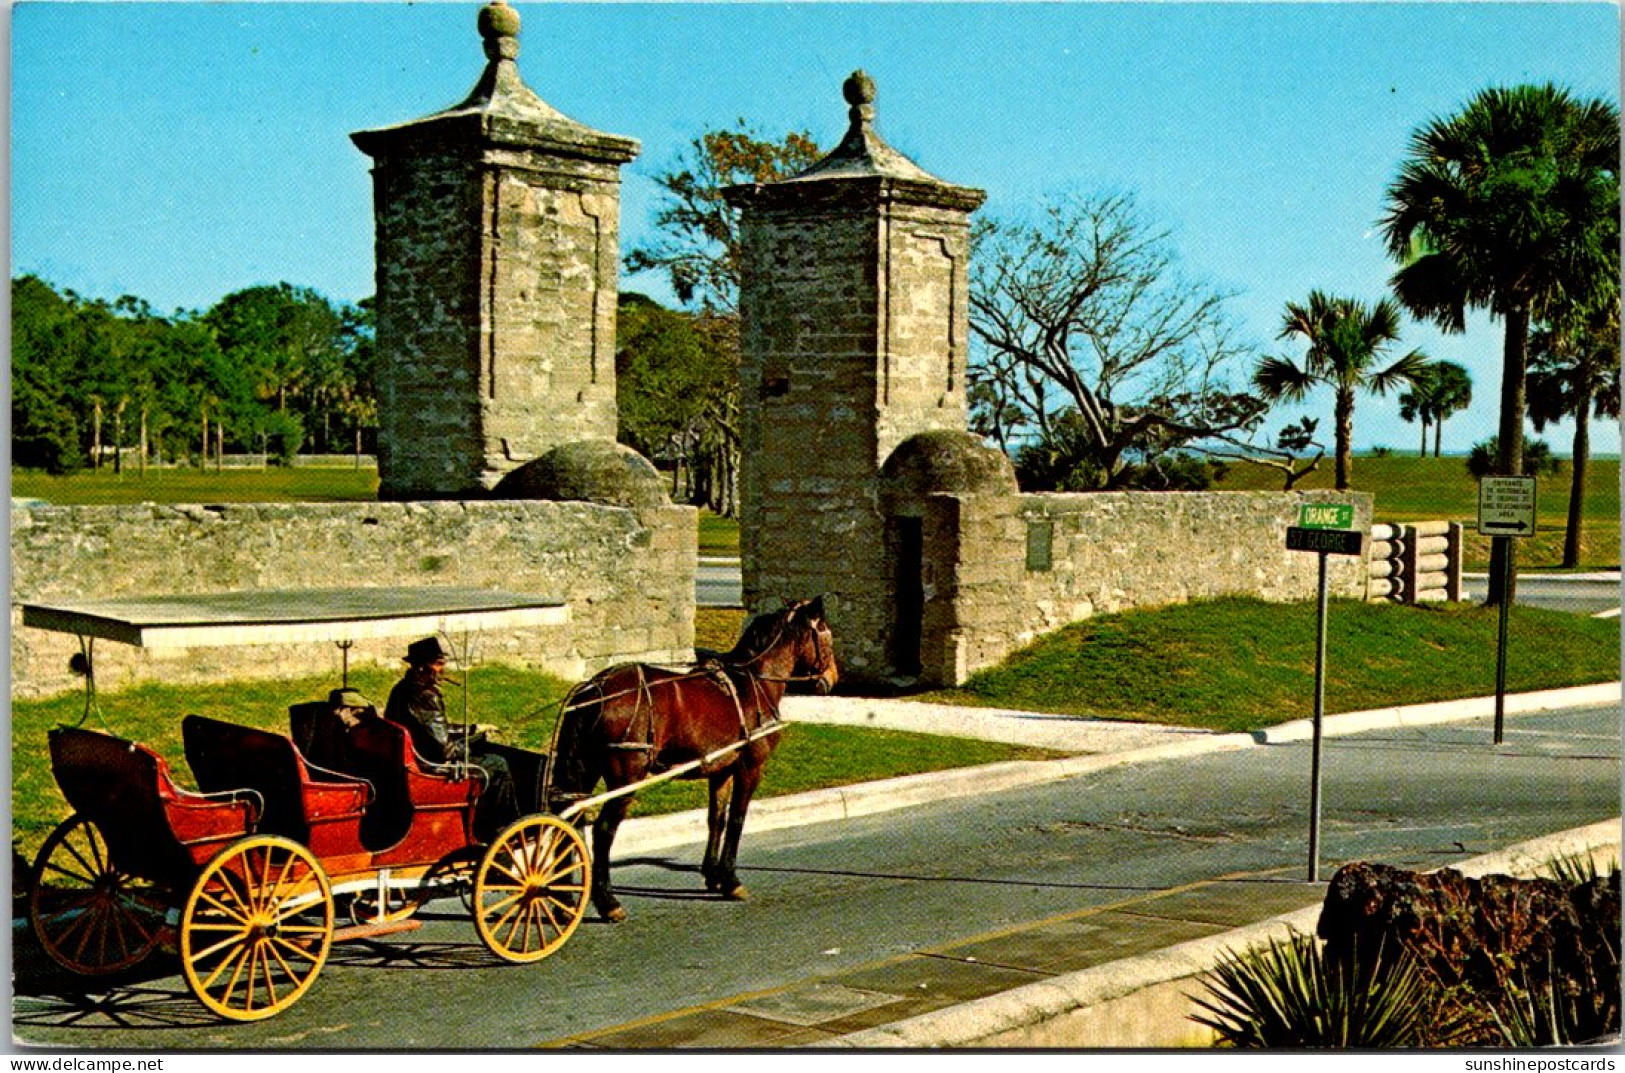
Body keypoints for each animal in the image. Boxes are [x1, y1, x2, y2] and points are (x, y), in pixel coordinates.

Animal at [552, 595, 845, 923]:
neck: (753, 683)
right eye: (827, 633)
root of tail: (594, 688)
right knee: (602, 830)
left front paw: (713, 876)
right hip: (626, 775)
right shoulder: (750, 768)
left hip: (586, 769)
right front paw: (731, 880)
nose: (832, 678)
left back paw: (565, 901)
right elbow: (737, 819)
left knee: (570, 822)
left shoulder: (722, 769)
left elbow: (716, 818)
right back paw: (607, 901)